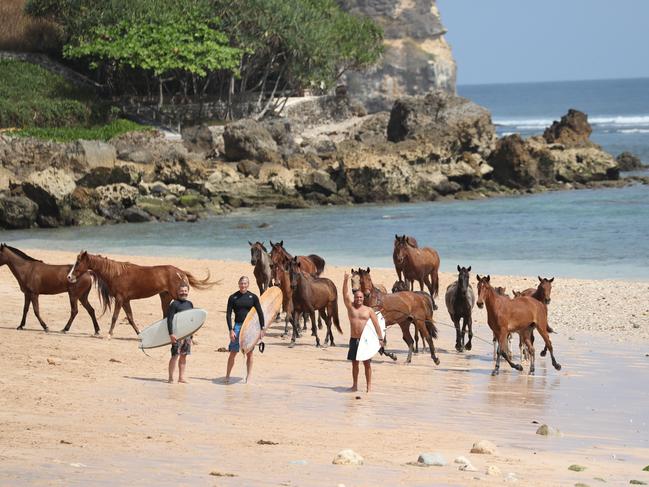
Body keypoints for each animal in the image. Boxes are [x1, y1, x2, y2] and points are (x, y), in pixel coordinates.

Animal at [67, 252, 216, 336]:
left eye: (78, 263)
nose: (69, 277)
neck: (115, 273)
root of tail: (182, 272)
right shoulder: (125, 300)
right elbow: (130, 318)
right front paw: (139, 333)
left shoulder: (120, 299)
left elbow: (115, 317)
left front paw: (109, 334)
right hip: (165, 297)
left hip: (176, 297)